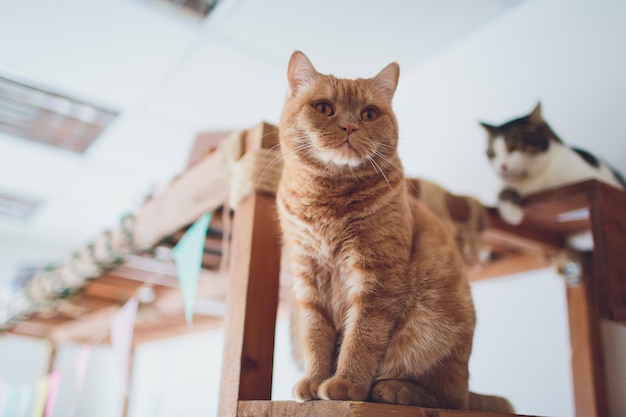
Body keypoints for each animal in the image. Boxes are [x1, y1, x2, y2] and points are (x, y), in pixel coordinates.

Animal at [276, 50, 510, 412]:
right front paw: (315, 381)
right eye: (325, 108)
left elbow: (361, 337)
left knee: (449, 398)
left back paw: (392, 389)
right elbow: (315, 337)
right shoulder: (308, 278)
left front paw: (346, 383)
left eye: (369, 114)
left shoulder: (377, 275)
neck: (329, 198)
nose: (349, 126)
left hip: (433, 330)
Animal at [480, 101, 620, 226]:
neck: (537, 180)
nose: (501, 167)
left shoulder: (592, 178)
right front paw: (512, 212)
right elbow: (502, 191)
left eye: (513, 147)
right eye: (492, 154)